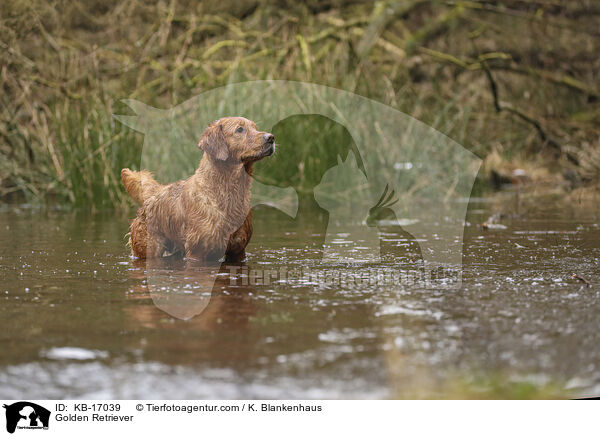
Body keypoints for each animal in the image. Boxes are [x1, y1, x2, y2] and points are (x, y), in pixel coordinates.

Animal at [122, 117, 276, 262]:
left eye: (255, 127)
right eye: (240, 129)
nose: (271, 137)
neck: (227, 192)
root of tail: (154, 193)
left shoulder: (238, 251)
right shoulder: (197, 253)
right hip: (147, 248)